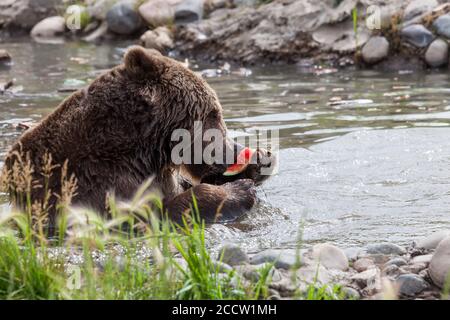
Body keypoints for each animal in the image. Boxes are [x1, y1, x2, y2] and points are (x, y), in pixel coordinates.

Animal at [3, 45, 274, 230]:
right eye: (214, 113)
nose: (233, 150)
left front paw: (258, 162)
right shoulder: (97, 186)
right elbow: (156, 214)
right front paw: (238, 190)